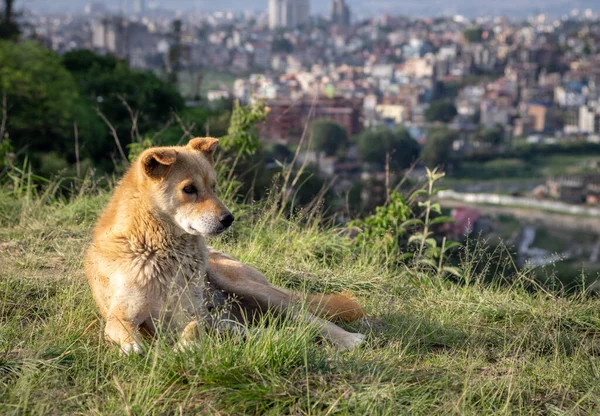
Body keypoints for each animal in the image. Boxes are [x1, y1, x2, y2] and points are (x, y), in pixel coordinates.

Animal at [83, 138, 366, 352]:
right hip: (231, 315)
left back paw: (349, 339)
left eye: (214, 187)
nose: (229, 219)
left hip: (249, 288)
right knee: (250, 329)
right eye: (189, 189)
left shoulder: (191, 313)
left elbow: (194, 328)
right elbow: (123, 329)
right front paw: (133, 347)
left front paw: (186, 347)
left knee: (308, 317)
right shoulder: (121, 314)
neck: (159, 250)